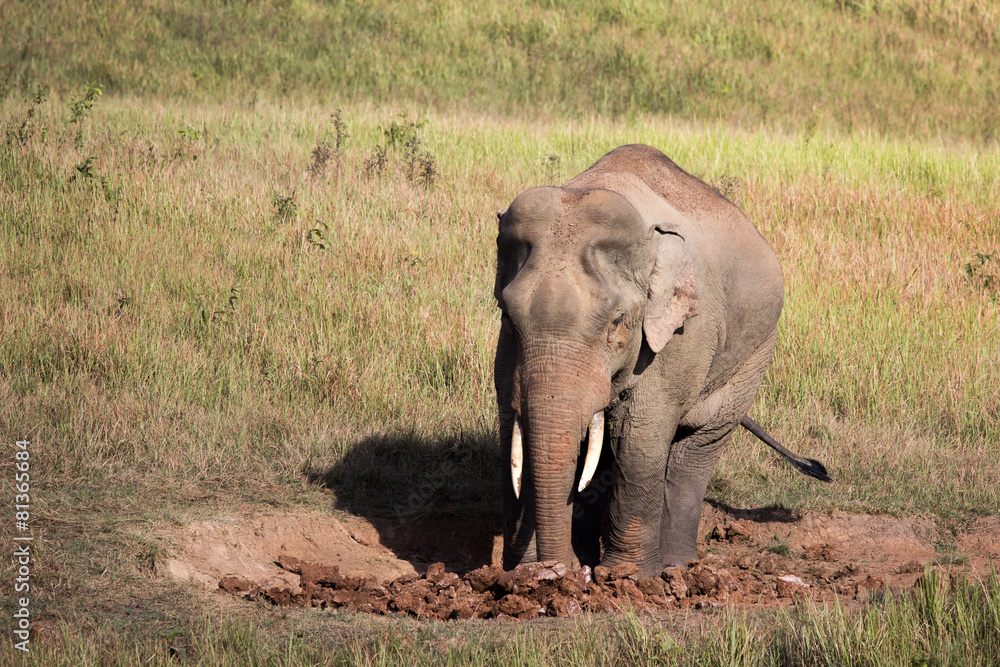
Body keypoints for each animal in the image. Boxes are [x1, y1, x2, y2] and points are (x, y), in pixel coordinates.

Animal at [494, 144, 825, 578]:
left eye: (617, 322)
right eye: (507, 317)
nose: (558, 572)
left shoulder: (678, 340)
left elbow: (640, 436)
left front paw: (626, 577)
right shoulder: (507, 358)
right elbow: (515, 436)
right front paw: (527, 575)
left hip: (755, 352)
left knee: (696, 450)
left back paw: (676, 566)